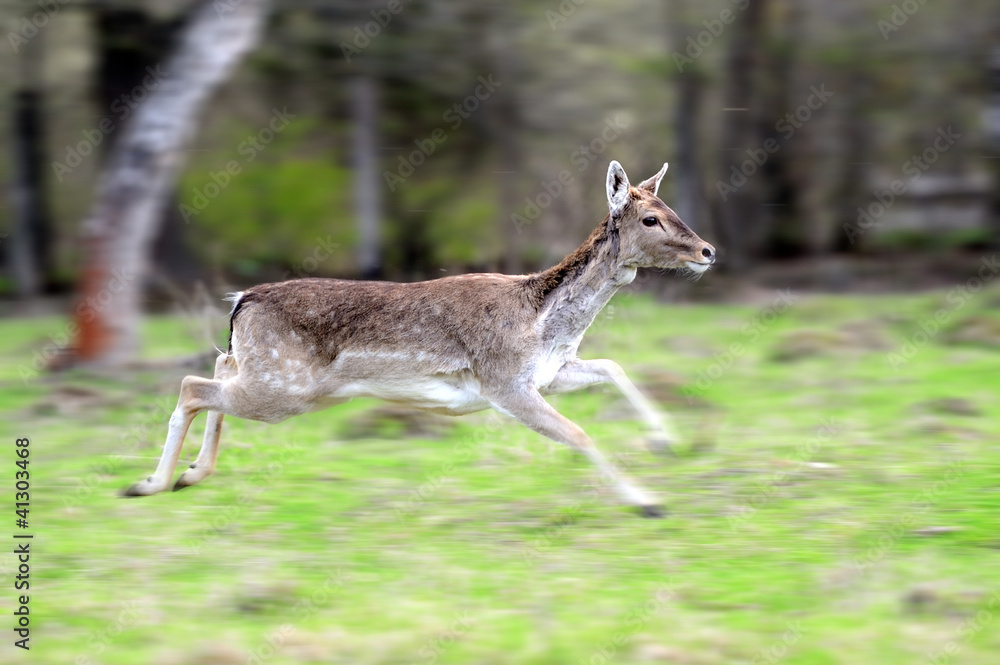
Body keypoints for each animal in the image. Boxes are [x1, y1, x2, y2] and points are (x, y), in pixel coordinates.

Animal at [125, 160, 716, 512]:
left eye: (668, 207)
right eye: (649, 219)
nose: (708, 250)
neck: (542, 324)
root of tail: (241, 299)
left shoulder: (549, 373)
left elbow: (614, 367)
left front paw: (666, 442)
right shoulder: (504, 382)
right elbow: (578, 434)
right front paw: (647, 501)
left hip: (268, 373)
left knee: (215, 370)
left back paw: (190, 475)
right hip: (286, 388)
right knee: (192, 385)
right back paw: (149, 483)